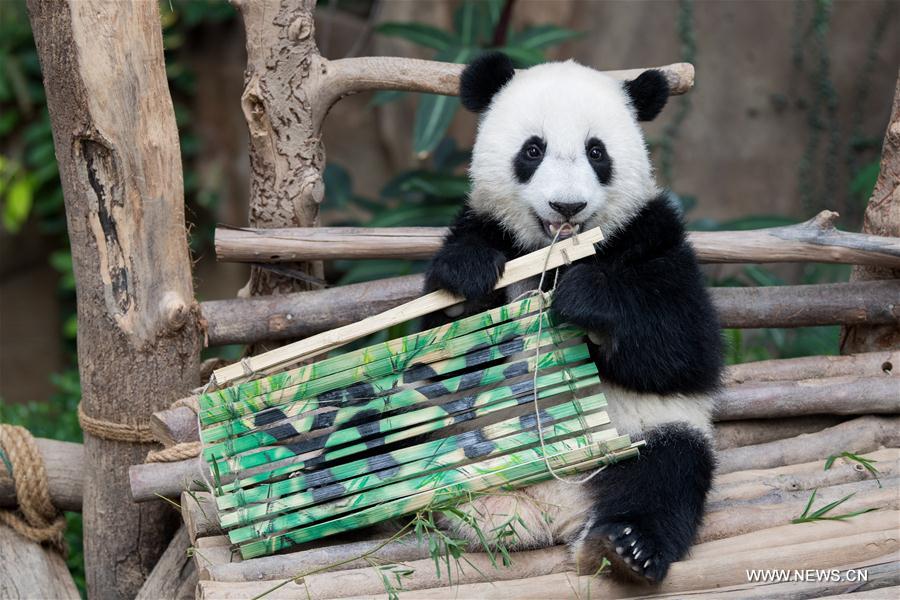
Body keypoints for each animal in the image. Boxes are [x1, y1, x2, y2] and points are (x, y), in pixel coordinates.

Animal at [422, 52, 723, 584]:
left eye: (597, 152)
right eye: (533, 149)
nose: (567, 205)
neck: (557, 254)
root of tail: (551, 510)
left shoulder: (652, 236)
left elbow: (687, 348)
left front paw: (586, 300)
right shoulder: (482, 226)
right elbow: (434, 353)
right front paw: (468, 275)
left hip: (647, 434)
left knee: (667, 475)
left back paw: (625, 548)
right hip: (458, 441)